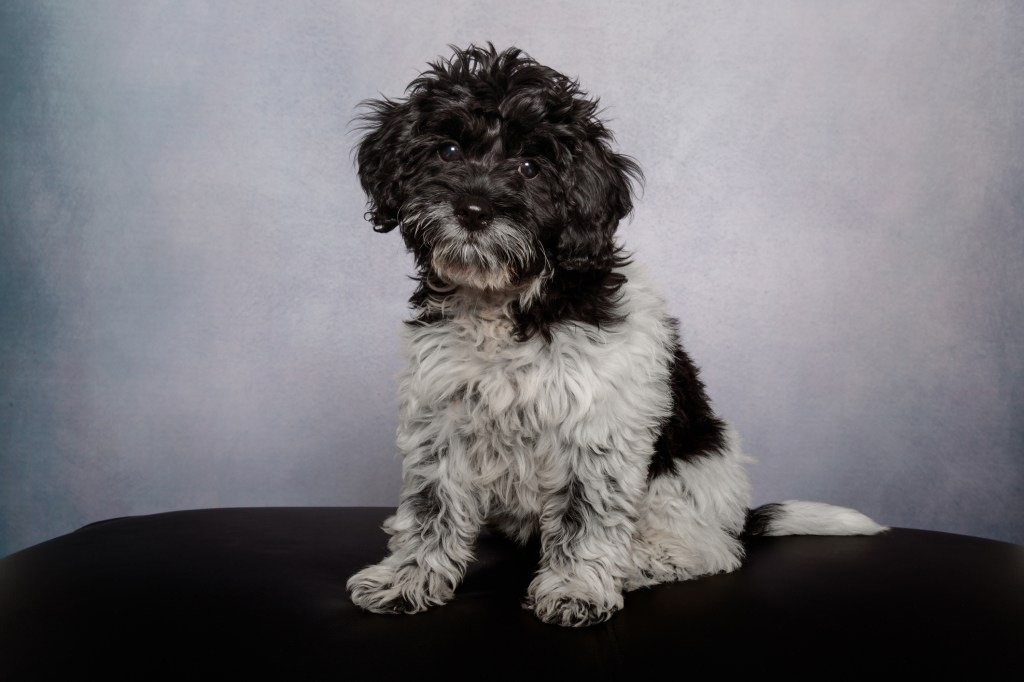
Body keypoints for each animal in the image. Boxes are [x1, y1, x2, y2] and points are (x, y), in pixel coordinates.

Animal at [346, 43, 888, 626]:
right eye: (447, 150)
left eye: (531, 167)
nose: (473, 210)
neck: (510, 301)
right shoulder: (441, 419)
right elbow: (432, 507)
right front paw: (407, 579)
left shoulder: (596, 428)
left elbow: (585, 516)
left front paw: (576, 588)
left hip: (684, 480)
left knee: (711, 550)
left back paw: (638, 564)